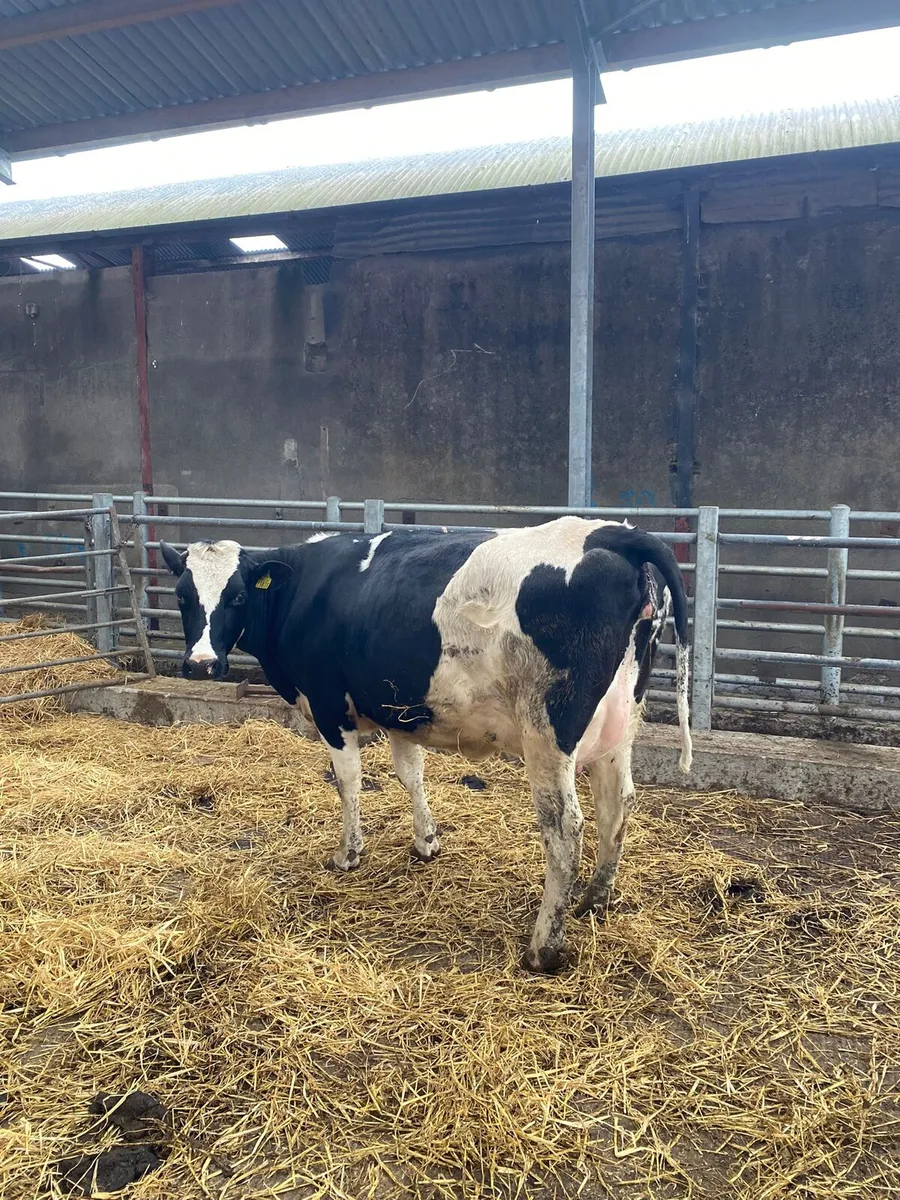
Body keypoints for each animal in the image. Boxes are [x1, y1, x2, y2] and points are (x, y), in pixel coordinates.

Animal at [160, 517, 691, 973]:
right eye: (183, 595)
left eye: (236, 596)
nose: (202, 664)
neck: (304, 588)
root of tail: (610, 532)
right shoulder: (401, 711)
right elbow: (409, 773)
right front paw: (426, 842)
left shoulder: (330, 706)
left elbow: (349, 782)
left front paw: (347, 854)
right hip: (620, 723)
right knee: (617, 804)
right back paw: (595, 901)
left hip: (548, 732)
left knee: (565, 827)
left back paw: (544, 948)